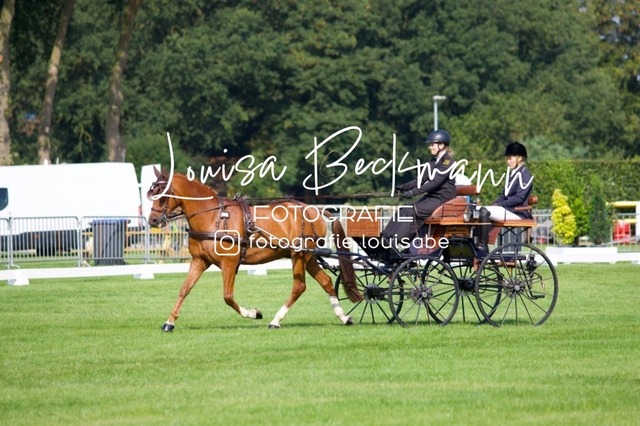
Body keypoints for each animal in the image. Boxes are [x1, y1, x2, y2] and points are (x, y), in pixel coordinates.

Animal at [147, 167, 362, 330]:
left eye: (163, 196)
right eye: (152, 193)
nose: (153, 221)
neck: (212, 217)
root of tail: (313, 209)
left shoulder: (229, 263)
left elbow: (227, 297)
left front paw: (254, 313)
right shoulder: (200, 261)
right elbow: (184, 289)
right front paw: (170, 322)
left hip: (299, 255)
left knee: (299, 286)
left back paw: (276, 320)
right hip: (308, 257)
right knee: (325, 281)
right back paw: (344, 317)